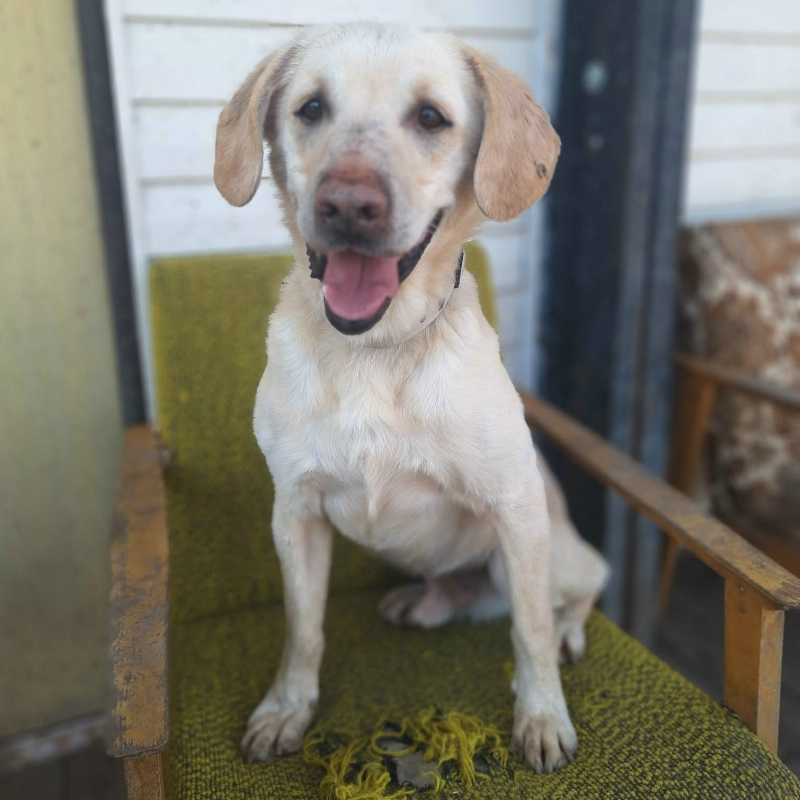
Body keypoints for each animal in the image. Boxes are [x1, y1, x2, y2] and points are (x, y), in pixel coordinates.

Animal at [214, 23, 609, 775]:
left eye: (430, 116)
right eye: (311, 108)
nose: (347, 205)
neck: (377, 349)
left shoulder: (516, 507)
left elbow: (530, 634)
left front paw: (542, 718)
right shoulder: (295, 513)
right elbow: (302, 630)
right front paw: (286, 711)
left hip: (544, 548)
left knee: (580, 590)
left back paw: (566, 632)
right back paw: (424, 601)